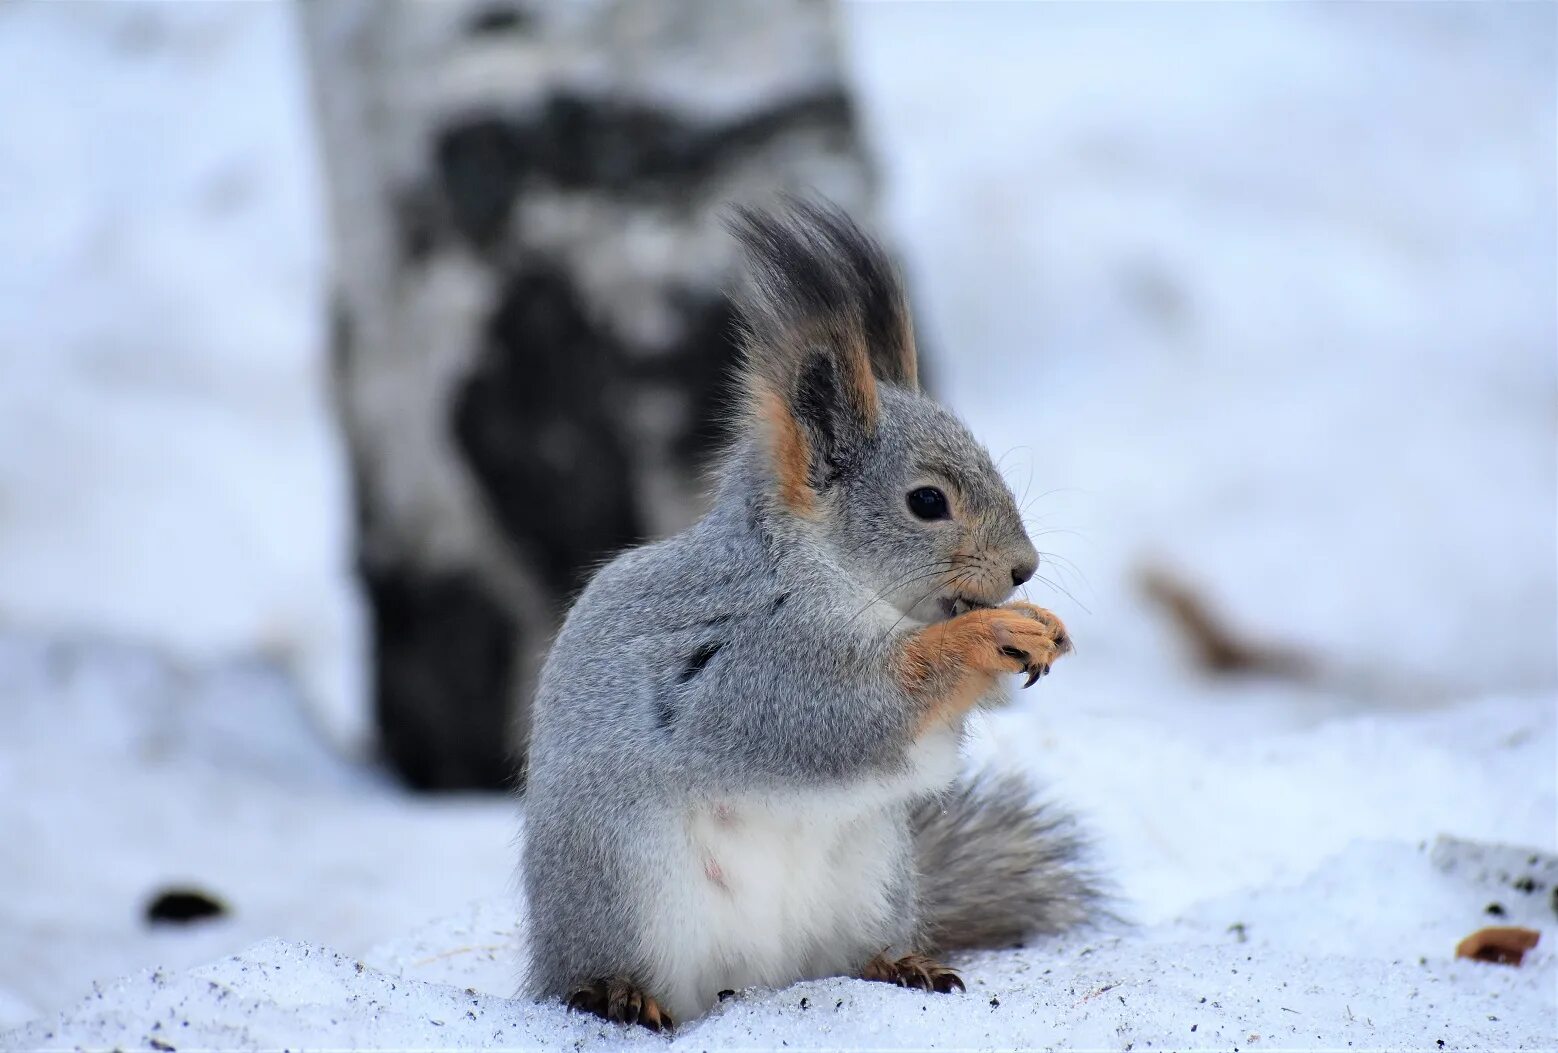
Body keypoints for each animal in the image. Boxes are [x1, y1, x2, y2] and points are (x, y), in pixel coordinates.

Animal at [517, 197, 1103, 1028]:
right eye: (928, 501)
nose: (1024, 568)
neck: (834, 572)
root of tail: (752, 979)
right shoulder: (753, 650)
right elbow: (846, 710)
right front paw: (984, 635)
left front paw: (1040, 630)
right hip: (625, 880)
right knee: (603, 968)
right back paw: (614, 991)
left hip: (873, 872)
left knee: (852, 953)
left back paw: (902, 964)